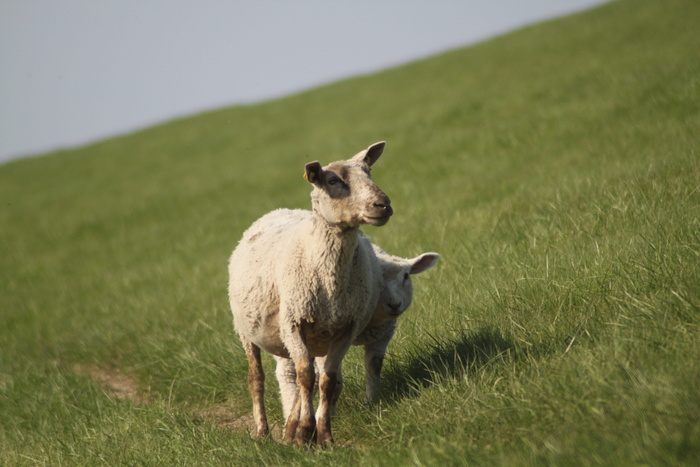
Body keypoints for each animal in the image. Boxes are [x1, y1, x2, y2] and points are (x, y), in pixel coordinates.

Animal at [230, 142, 394, 446]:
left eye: (369, 172)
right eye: (332, 181)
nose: (383, 204)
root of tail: (277, 210)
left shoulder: (345, 328)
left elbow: (326, 380)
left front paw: (323, 435)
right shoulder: (294, 323)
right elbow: (305, 377)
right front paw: (306, 432)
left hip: (312, 337)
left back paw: (290, 429)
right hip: (247, 331)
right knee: (257, 378)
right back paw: (262, 431)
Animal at [274, 241, 438, 420]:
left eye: (406, 276)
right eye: (375, 278)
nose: (394, 304)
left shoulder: (382, 334)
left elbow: (374, 365)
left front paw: (372, 399)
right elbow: (333, 379)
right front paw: (327, 413)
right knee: (287, 372)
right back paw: (290, 409)